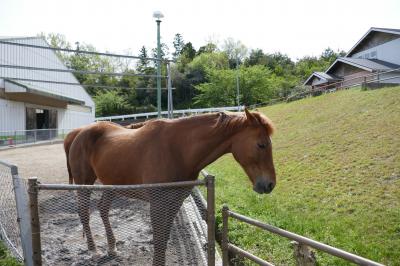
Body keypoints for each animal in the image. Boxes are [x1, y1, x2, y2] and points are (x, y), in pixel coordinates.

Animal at [67, 109, 276, 264]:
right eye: (261, 145)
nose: (270, 184)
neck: (178, 150)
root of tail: (78, 133)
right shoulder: (158, 204)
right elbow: (159, 241)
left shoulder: (175, 202)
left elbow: (165, 239)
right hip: (84, 182)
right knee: (84, 213)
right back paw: (93, 250)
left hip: (111, 184)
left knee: (103, 209)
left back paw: (112, 247)